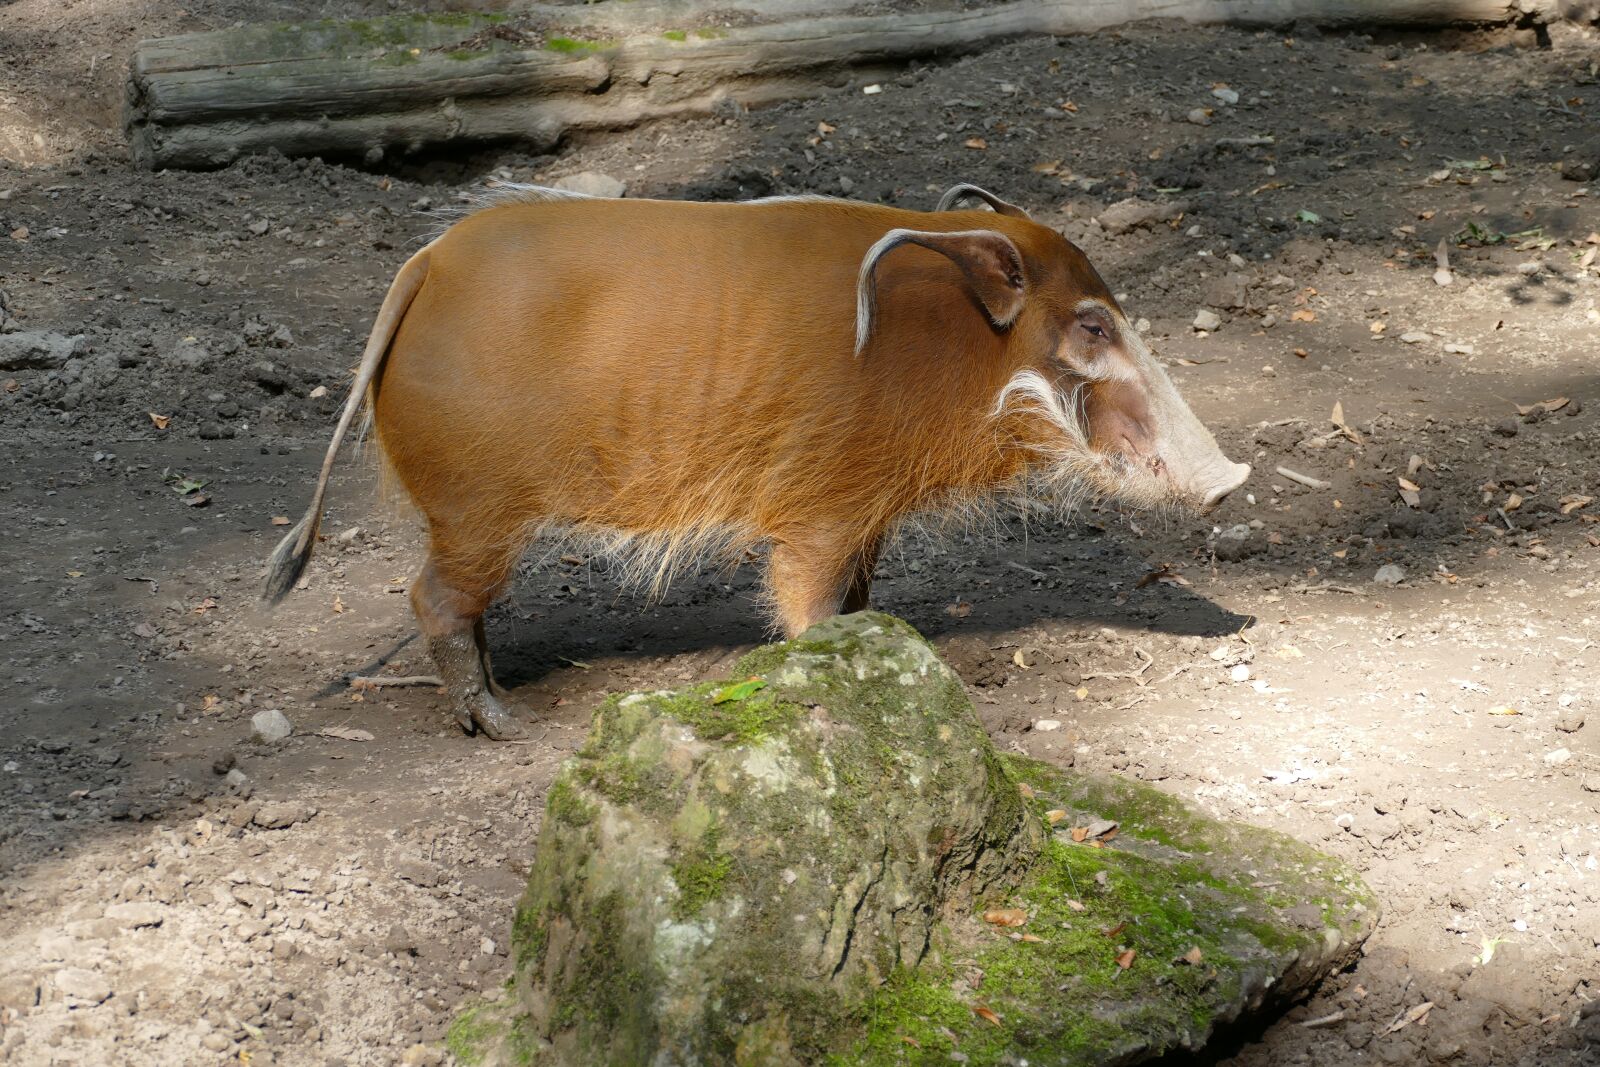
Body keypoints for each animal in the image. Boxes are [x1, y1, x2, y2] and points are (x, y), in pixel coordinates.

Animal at [263, 183, 1248, 739]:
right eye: (1091, 326)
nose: (1232, 480)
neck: (954, 347)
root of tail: (423, 267)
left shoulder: (866, 516)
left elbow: (859, 603)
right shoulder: (818, 515)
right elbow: (808, 611)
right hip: (477, 510)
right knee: (431, 597)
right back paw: (503, 723)